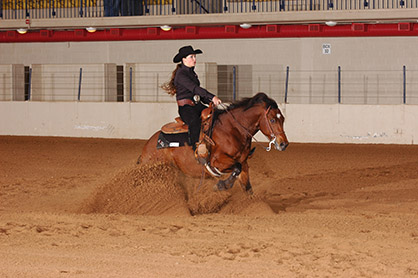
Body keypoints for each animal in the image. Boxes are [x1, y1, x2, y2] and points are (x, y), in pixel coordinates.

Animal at [137, 93, 288, 193]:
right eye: (272, 120)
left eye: (283, 119)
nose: (284, 144)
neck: (233, 130)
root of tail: (149, 146)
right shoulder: (218, 162)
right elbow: (236, 168)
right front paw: (222, 185)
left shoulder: (244, 163)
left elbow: (247, 187)